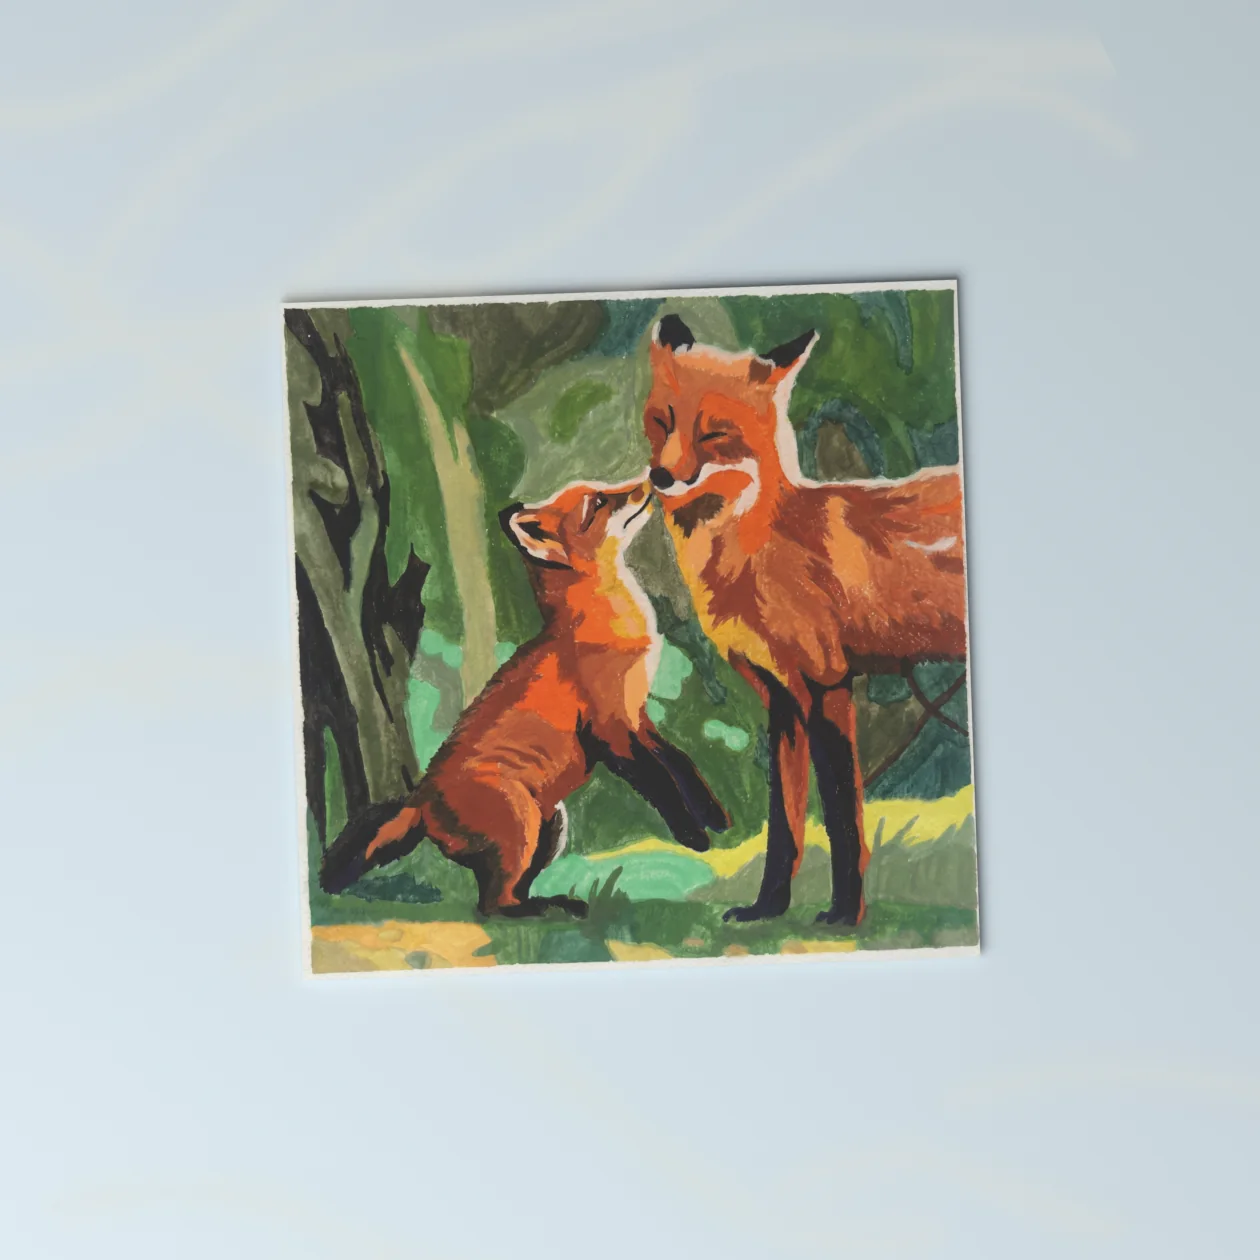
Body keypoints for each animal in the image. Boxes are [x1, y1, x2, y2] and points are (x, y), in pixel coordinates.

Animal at [319, 476, 730, 916]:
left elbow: (680, 764)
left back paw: (555, 903)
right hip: (522, 824)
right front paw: (694, 836)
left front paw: (715, 816)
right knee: (493, 906)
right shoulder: (610, 728)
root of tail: (420, 799)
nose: (649, 480)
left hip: (552, 825)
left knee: (505, 894)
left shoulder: (636, 715)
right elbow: (659, 782)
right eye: (599, 502)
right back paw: (554, 908)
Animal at [643, 313, 968, 925]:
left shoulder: (827, 683)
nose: (660, 476)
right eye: (663, 421)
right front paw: (766, 908)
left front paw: (845, 914)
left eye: (714, 434)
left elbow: (841, 816)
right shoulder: (782, 700)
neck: (760, 547)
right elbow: (785, 825)